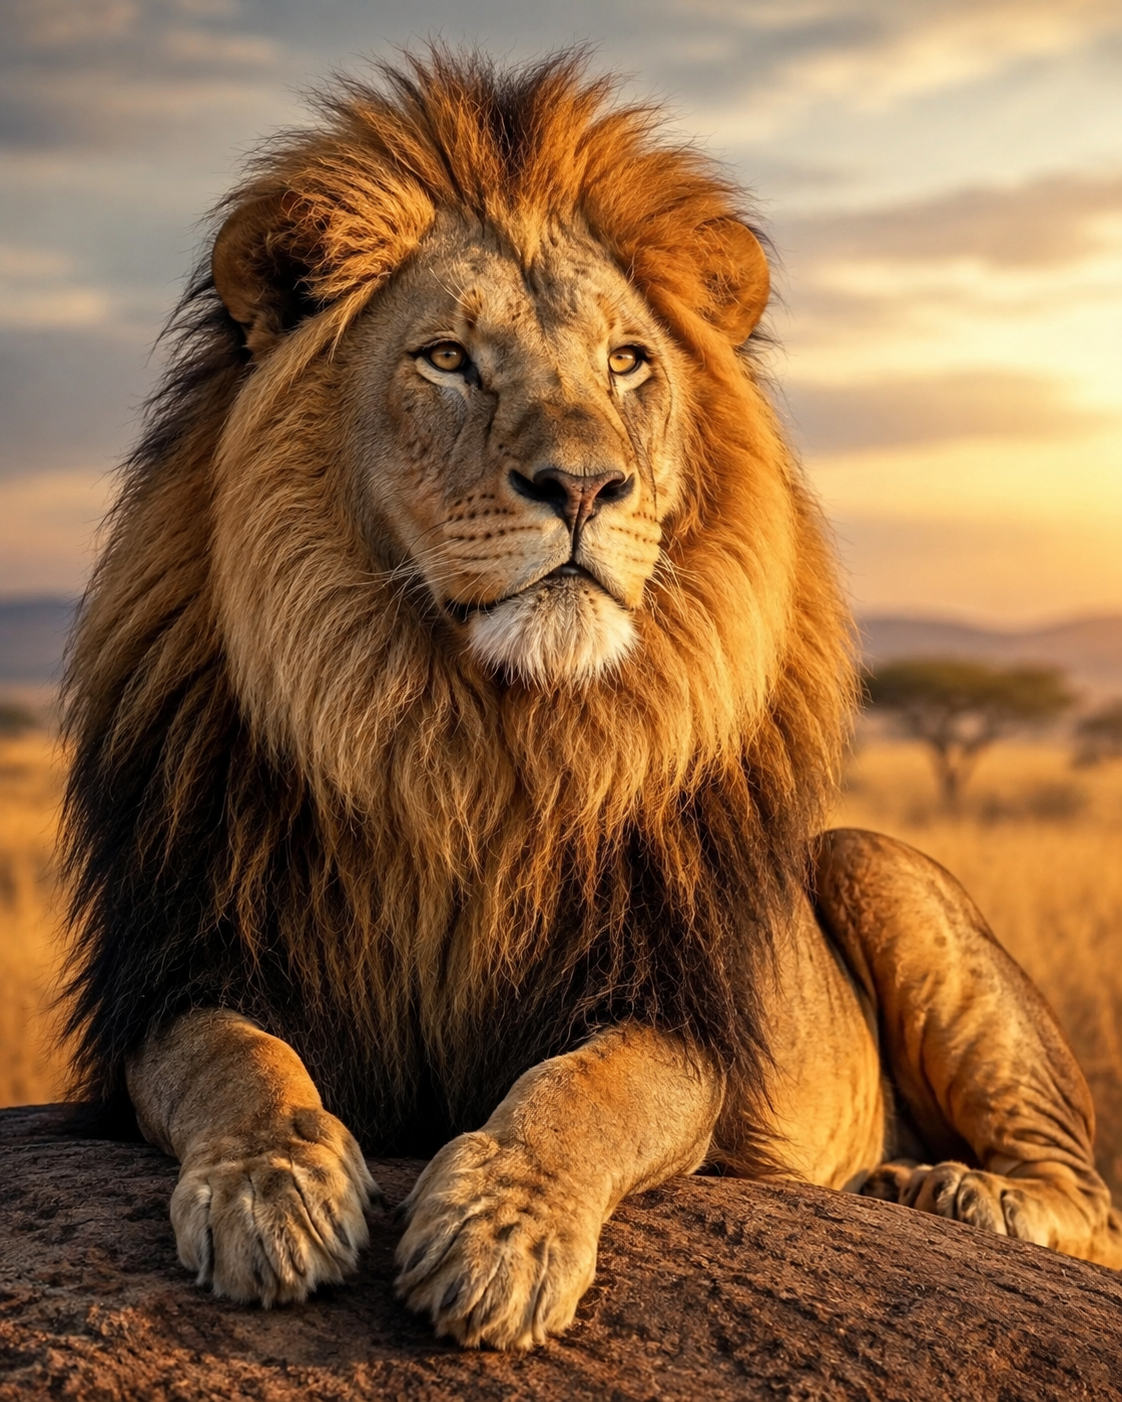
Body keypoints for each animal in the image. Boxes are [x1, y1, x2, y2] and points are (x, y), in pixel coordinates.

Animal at [61, 49, 1121, 1350]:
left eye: (627, 362)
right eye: (447, 358)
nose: (582, 484)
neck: (469, 736)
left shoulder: (674, 1016)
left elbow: (581, 1091)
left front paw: (498, 1236)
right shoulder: (177, 972)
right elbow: (235, 1059)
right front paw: (271, 1191)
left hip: (873, 863)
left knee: (1091, 1194)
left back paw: (960, 1192)